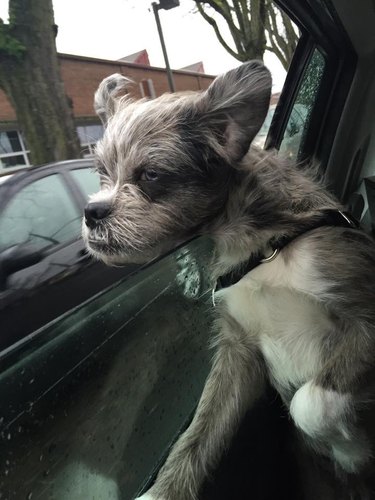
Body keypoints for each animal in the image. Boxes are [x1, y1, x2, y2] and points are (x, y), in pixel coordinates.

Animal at [83, 62, 375, 500]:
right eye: (102, 174)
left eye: (151, 174)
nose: (91, 212)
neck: (260, 247)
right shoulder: (238, 353)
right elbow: (199, 434)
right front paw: (162, 491)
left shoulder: (364, 319)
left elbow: (308, 405)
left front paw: (347, 443)